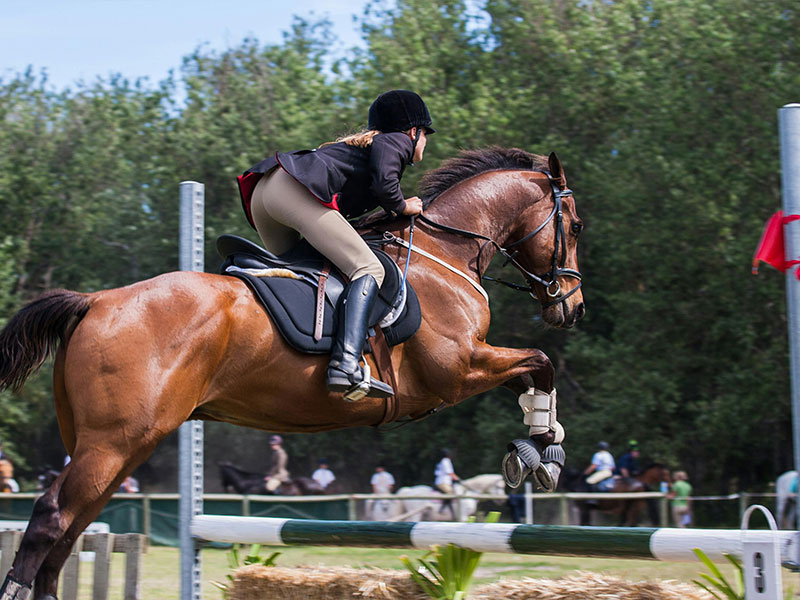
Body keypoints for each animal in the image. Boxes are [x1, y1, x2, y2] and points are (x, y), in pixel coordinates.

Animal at [1, 148, 588, 596]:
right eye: (576, 226)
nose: (572, 307)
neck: (443, 252)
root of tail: (95, 302)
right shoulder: (457, 369)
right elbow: (540, 362)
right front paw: (542, 454)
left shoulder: (470, 367)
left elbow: (531, 374)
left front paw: (540, 442)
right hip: (114, 442)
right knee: (51, 518)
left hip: (114, 447)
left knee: (72, 529)